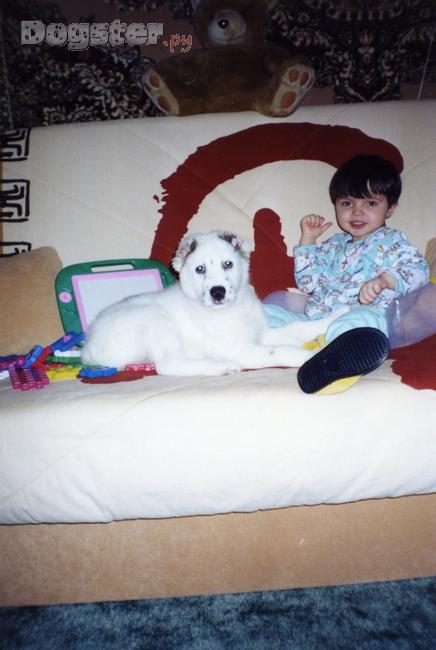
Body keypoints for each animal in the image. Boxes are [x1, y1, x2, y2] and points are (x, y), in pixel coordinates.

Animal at [81, 230, 345, 376]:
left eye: (227, 264)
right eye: (200, 269)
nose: (217, 292)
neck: (233, 310)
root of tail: (88, 348)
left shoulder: (262, 334)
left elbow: (297, 328)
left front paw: (337, 315)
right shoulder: (243, 350)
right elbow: (281, 350)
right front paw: (315, 355)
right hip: (153, 317)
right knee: (168, 364)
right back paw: (221, 366)